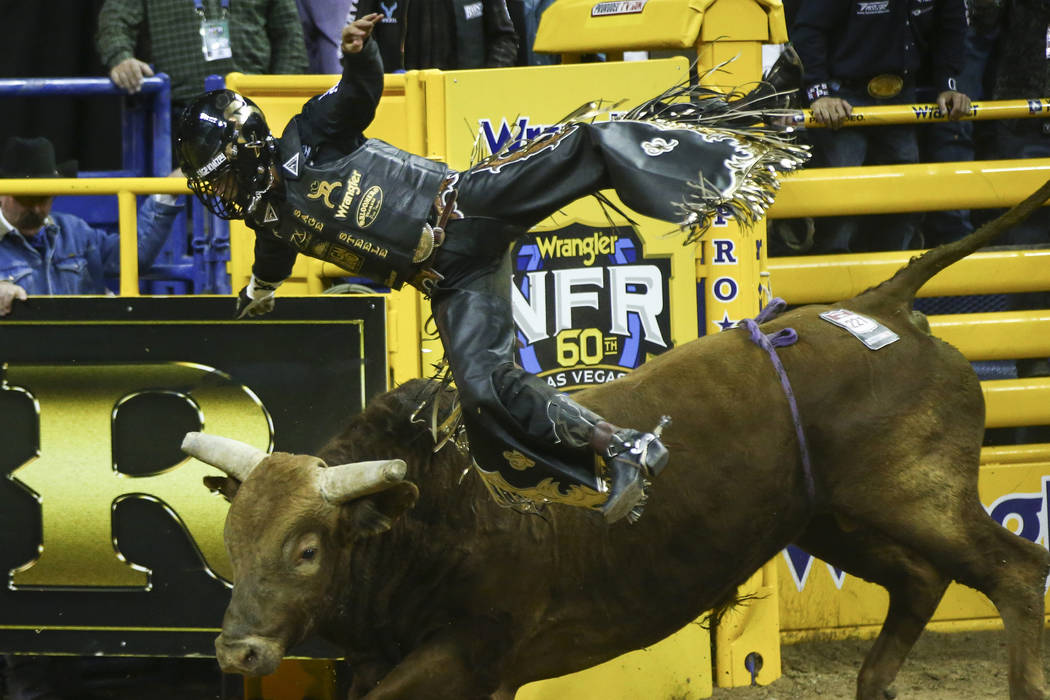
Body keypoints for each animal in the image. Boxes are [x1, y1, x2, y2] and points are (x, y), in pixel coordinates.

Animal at [184, 180, 1050, 700]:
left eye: (306, 549)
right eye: (234, 538)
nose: (237, 655)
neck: (432, 514)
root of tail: (882, 302)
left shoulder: (468, 652)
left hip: (915, 496)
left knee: (1016, 571)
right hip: (829, 516)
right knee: (919, 581)